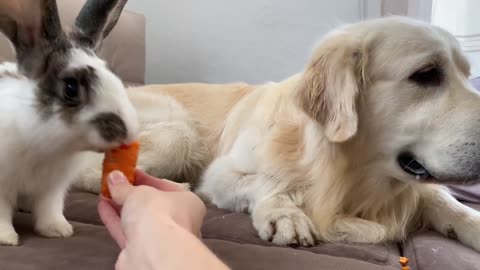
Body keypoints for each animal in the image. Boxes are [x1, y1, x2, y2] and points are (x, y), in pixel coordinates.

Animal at [0, 0, 139, 246]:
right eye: (71, 88)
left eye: (115, 75)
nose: (128, 131)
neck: (46, 148)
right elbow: (1, 211)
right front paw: (6, 238)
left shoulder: (52, 188)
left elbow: (49, 208)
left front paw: (58, 230)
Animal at [75, 16, 480, 251]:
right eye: (426, 74)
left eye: (466, 74)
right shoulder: (221, 174)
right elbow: (268, 182)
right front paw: (284, 213)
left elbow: (444, 200)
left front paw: (472, 223)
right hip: (179, 133)